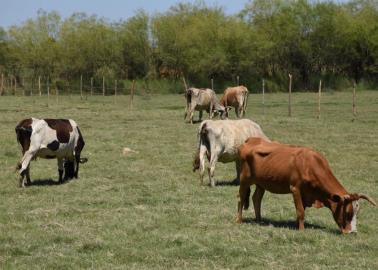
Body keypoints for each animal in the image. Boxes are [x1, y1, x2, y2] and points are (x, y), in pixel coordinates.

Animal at [236, 138, 376, 233]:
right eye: (347, 212)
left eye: (357, 212)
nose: (352, 232)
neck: (309, 164)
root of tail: (251, 140)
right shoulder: (295, 189)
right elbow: (300, 211)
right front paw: (302, 230)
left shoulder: (305, 193)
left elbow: (301, 209)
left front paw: (296, 225)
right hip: (244, 180)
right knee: (241, 198)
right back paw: (238, 220)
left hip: (262, 183)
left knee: (256, 198)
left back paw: (259, 220)